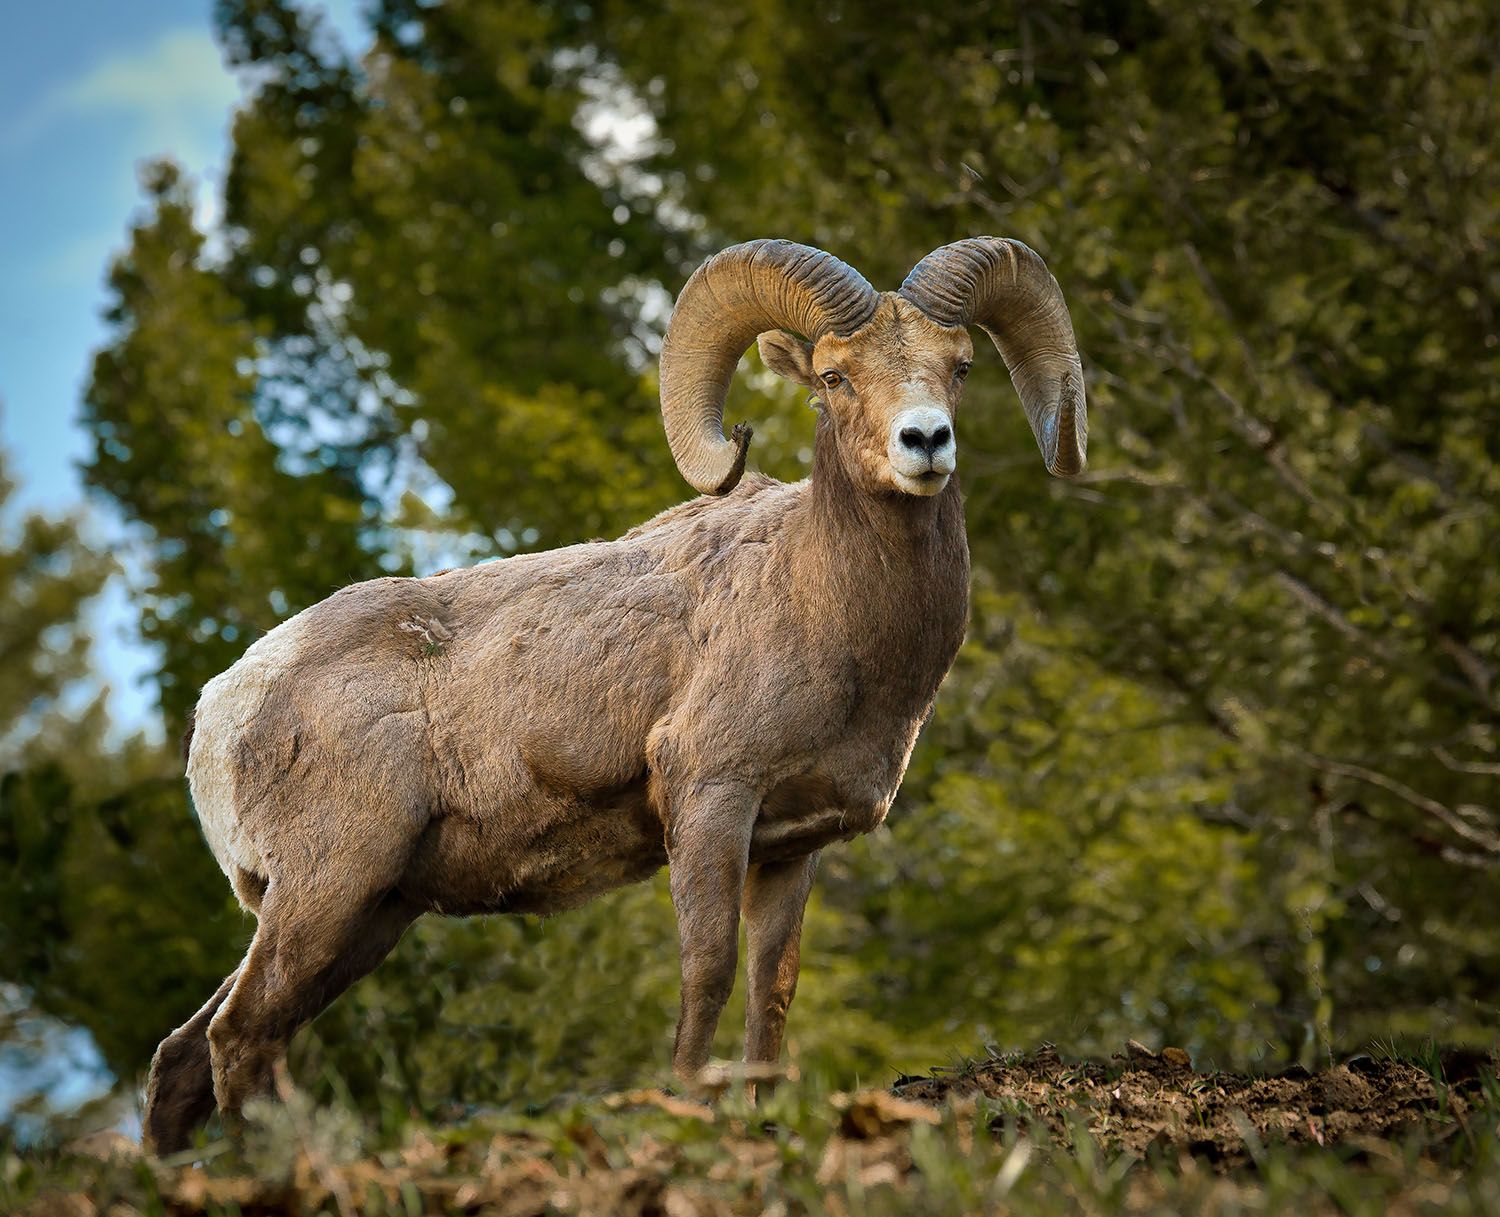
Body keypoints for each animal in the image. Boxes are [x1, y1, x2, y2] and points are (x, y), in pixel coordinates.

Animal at [141, 235, 1086, 1152]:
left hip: (365, 913)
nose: (925, 441)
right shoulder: (710, 800)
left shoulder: (790, 847)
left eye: (959, 365)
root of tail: (224, 706)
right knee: (240, 1038)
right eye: (833, 376)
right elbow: (707, 969)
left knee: (190, 1055)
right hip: (328, 893)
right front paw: (691, 1109)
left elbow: (771, 989)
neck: (821, 600)